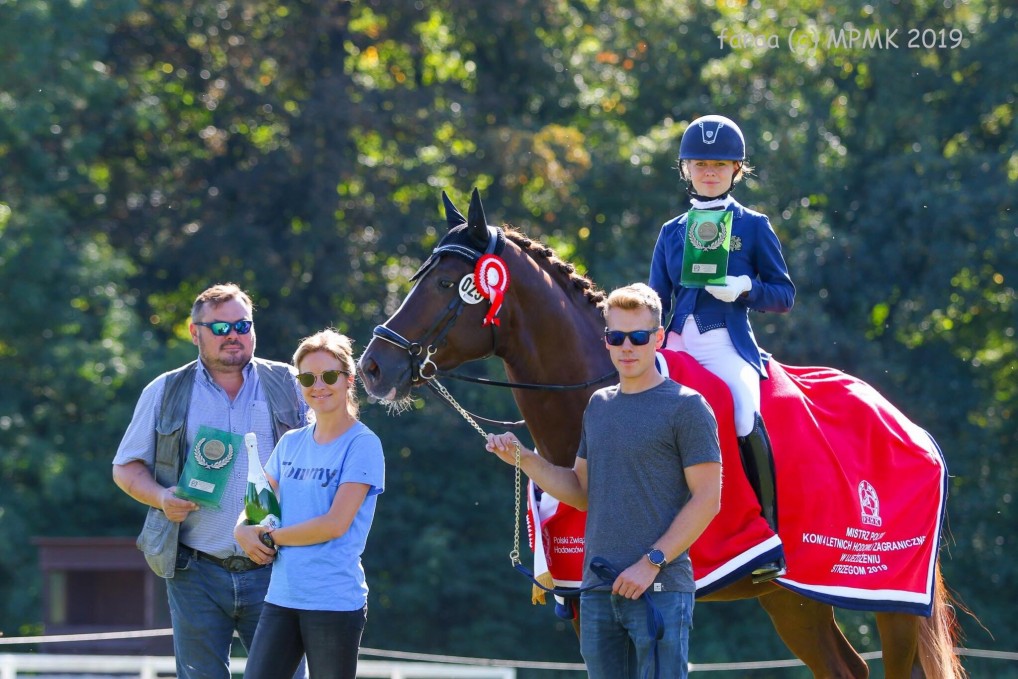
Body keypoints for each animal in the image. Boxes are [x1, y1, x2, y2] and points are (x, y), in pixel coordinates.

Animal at [358, 188, 966, 679]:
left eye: (445, 284)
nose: (372, 368)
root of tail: (911, 426)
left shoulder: (660, 597)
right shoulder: (586, 601)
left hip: (888, 596)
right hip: (798, 596)